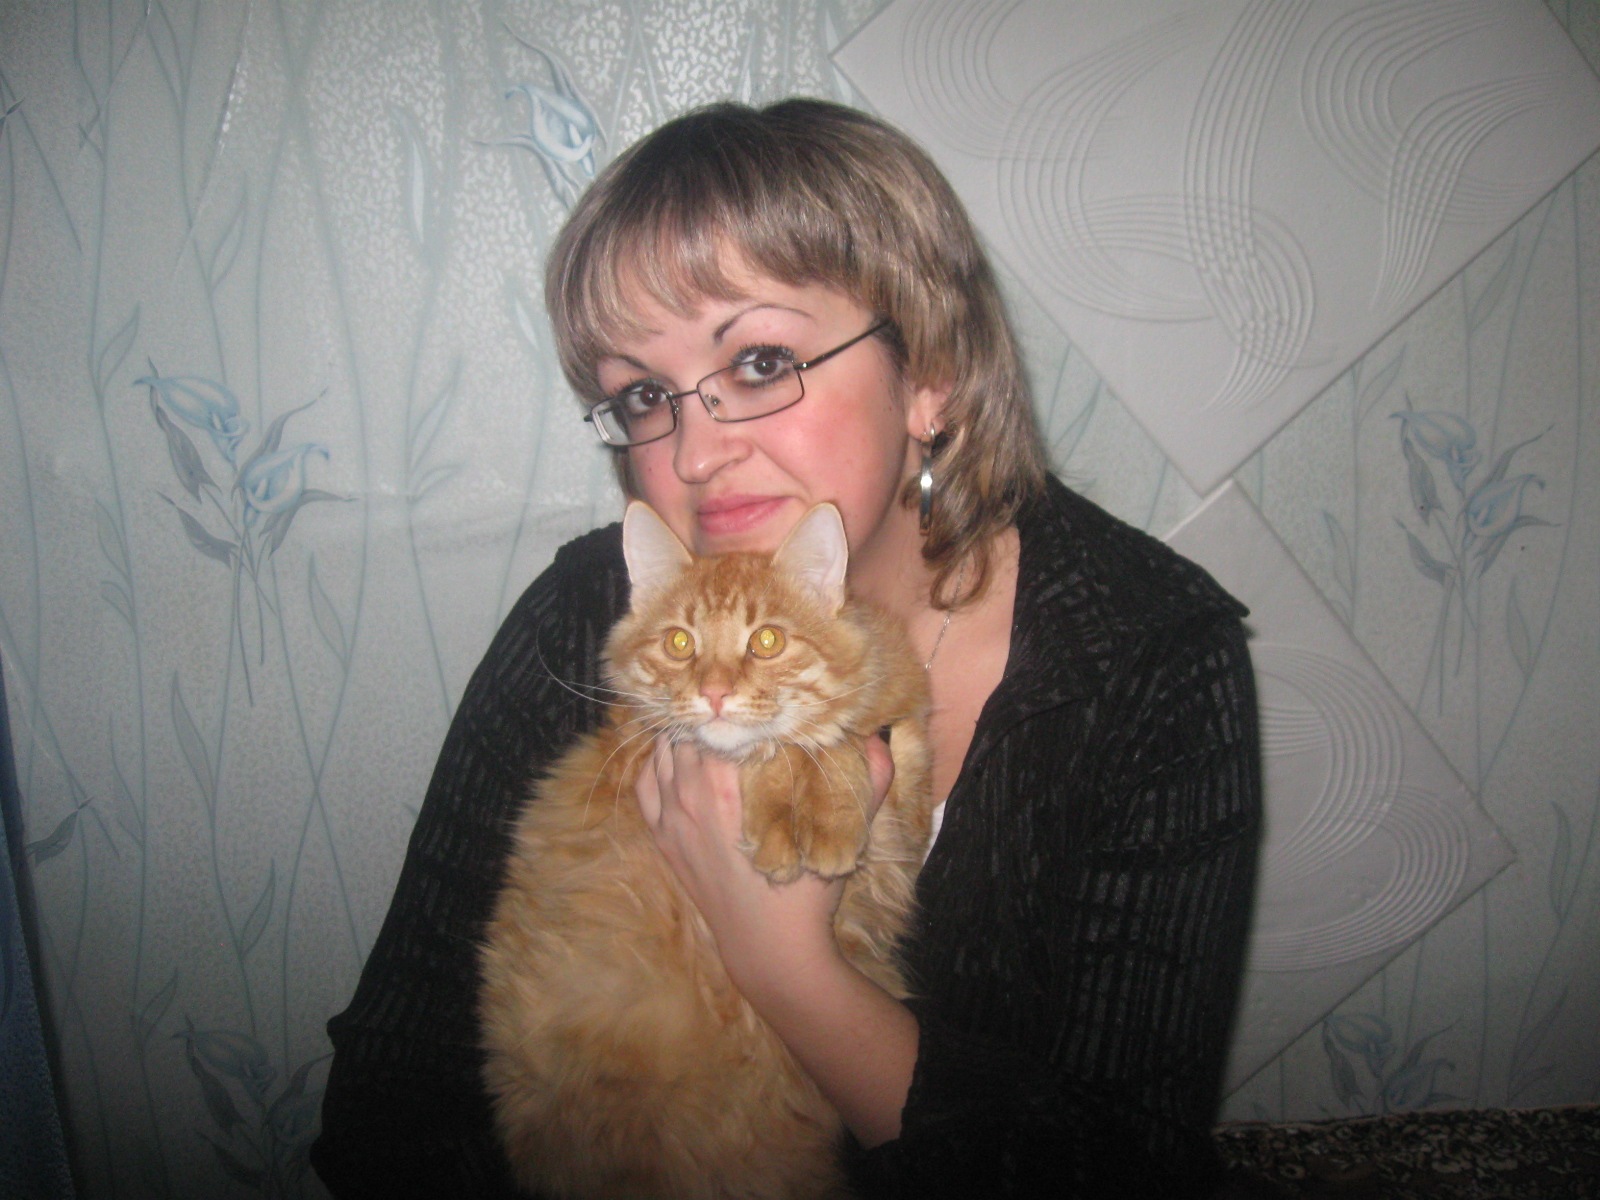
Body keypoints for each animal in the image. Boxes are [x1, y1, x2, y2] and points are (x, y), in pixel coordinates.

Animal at [478, 500, 934, 1200]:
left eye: (767, 641)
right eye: (679, 644)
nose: (716, 693)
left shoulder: (903, 804)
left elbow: (833, 744)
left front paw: (820, 808)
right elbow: (794, 747)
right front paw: (794, 819)